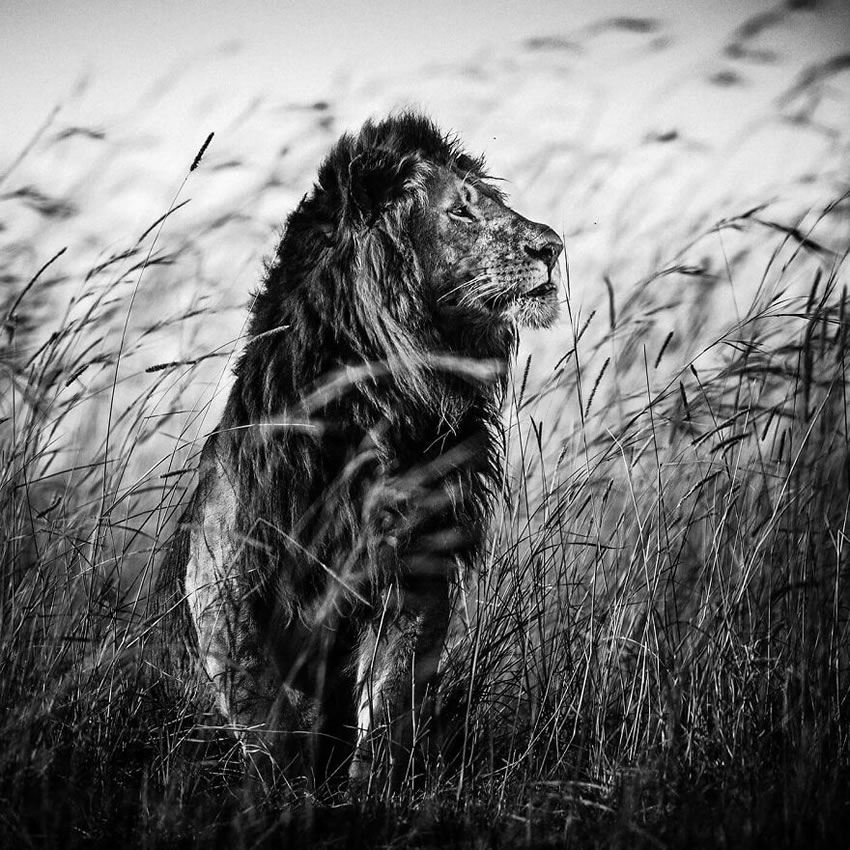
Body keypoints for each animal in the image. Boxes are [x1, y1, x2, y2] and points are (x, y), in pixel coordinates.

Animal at [154, 111, 564, 788]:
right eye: (461, 210)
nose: (553, 247)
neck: (384, 404)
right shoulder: (224, 571)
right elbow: (261, 702)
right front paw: (279, 788)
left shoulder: (414, 569)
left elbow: (390, 695)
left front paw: (370, 788)